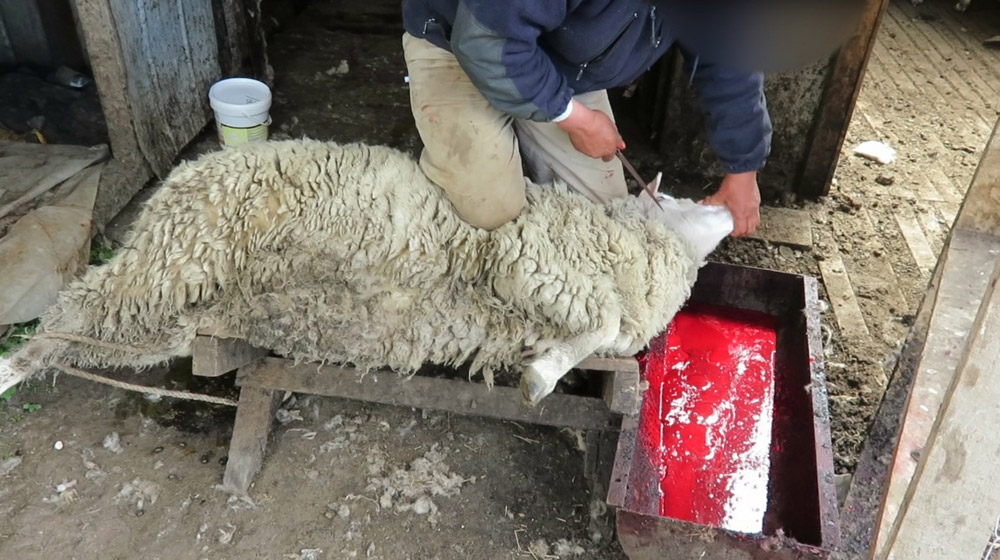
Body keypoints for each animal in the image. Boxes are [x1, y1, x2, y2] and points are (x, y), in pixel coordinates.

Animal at [0, 139, 733, 406]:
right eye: (684, 198)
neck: (630, 247)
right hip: (182, 252)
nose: (731, 210)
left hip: (172, 311)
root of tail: (183, 174)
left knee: (82, 333)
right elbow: (601, 321)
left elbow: (592, 335)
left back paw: (23, 368)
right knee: (71, 307)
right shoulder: (531, 259)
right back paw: (9, 367)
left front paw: (546, 366)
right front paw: (542, 377)